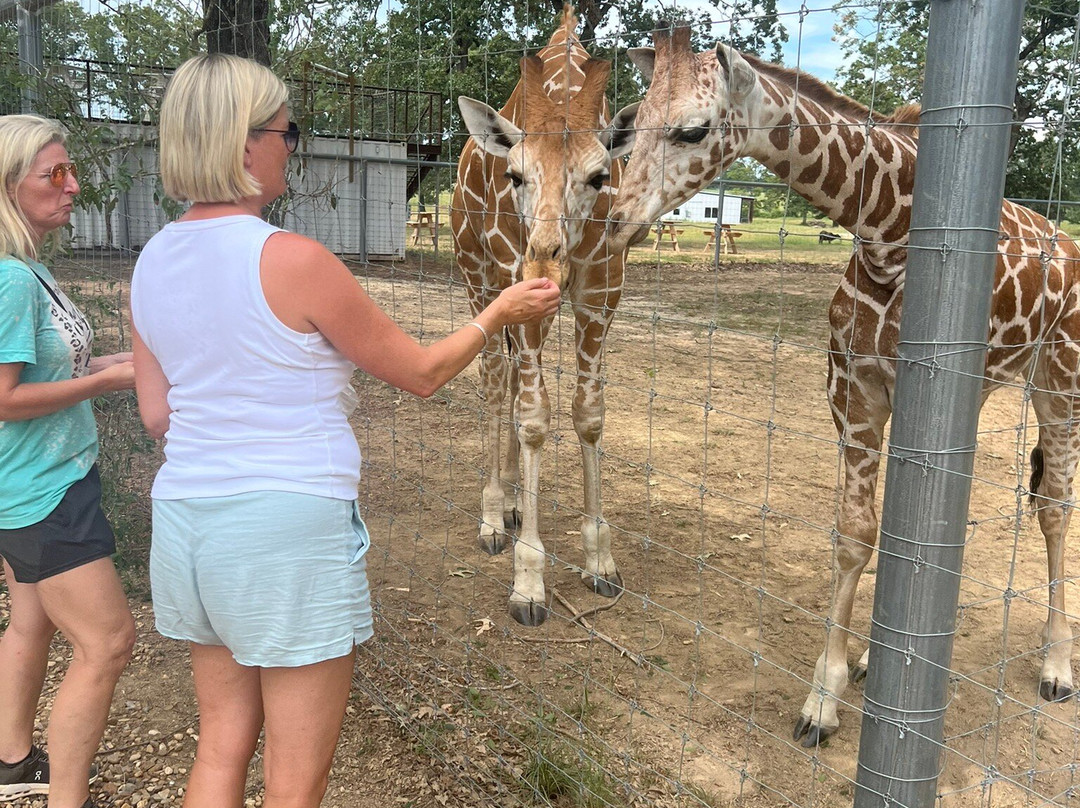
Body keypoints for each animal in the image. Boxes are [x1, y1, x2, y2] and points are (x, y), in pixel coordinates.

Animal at [450, 5, 638, 626]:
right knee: (494, 379)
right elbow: (535, 418)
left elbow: (589, 414)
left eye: (600, 177)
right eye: (515, 175)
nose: (542, 263)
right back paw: (493, 517)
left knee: (509, 377)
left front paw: (600, 560)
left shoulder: (602, 292)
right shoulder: (519, 294)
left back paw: (510, 503)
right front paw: (529, 583)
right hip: (478, 275)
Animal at [607, 26, 1080, 744]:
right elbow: (858, 530)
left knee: (1054, 506)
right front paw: (831, 689)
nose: (616, 223)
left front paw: (839, 688)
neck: (889, 230)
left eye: (693, 129)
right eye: (630, 123)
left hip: (1060, 381)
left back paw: (1056, 666)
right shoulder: (854, 392)